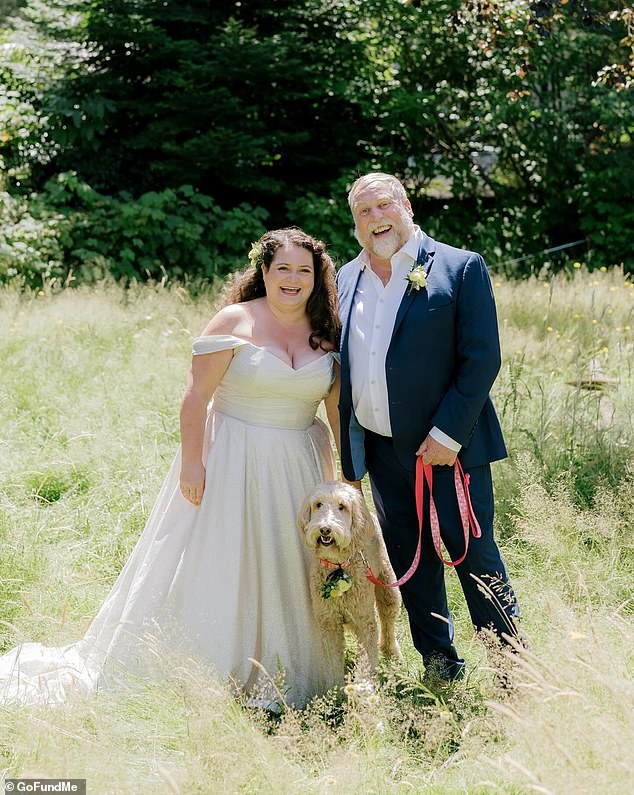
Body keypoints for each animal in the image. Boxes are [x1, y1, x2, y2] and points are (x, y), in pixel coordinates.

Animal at [298, 478, 400, 684]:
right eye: (318, 504)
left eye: (342, 507)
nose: (325, 529)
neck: (338, 567)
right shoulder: (329, 623)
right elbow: (332, 664)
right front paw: (334, 688)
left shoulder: (365, 621)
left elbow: (366, 660)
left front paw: (363, 687)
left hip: (388, 589)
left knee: (388, 622)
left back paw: (392, 653)